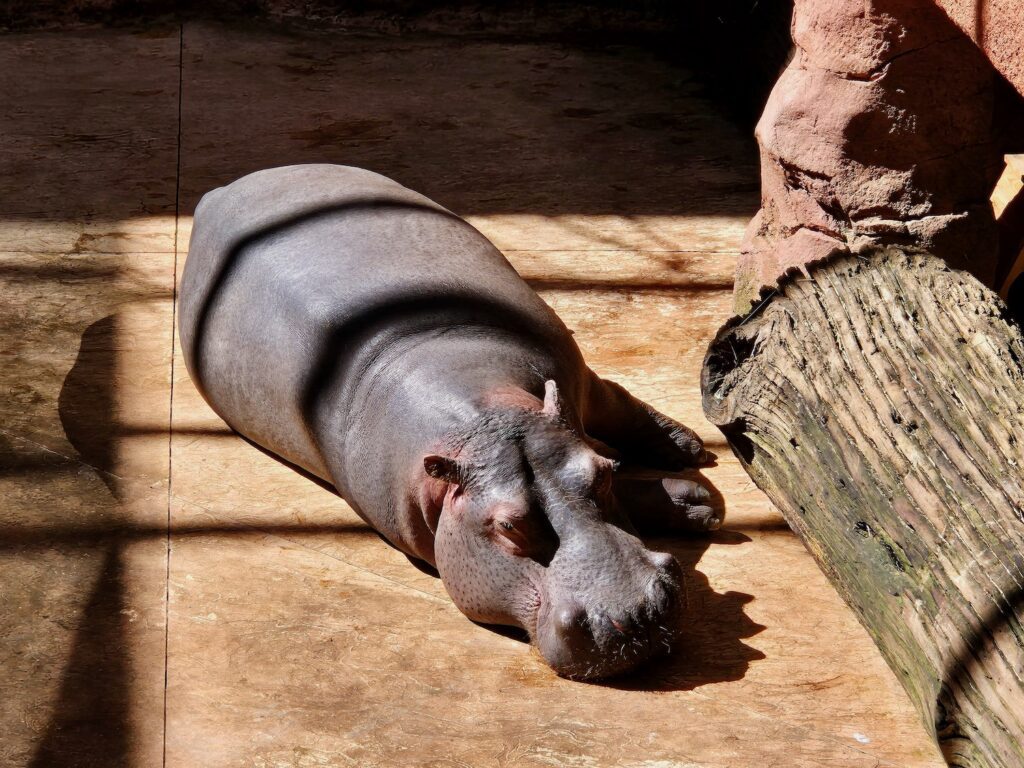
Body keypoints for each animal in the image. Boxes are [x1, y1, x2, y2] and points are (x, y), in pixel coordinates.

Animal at [180, 163, 716, 679]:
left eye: (603, 475)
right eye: (508, 526)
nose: (637, 613)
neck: (487, 419)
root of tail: (218, 193)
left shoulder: (572, 382)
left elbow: (613, 409)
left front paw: (695, 492)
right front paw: (696, 500)